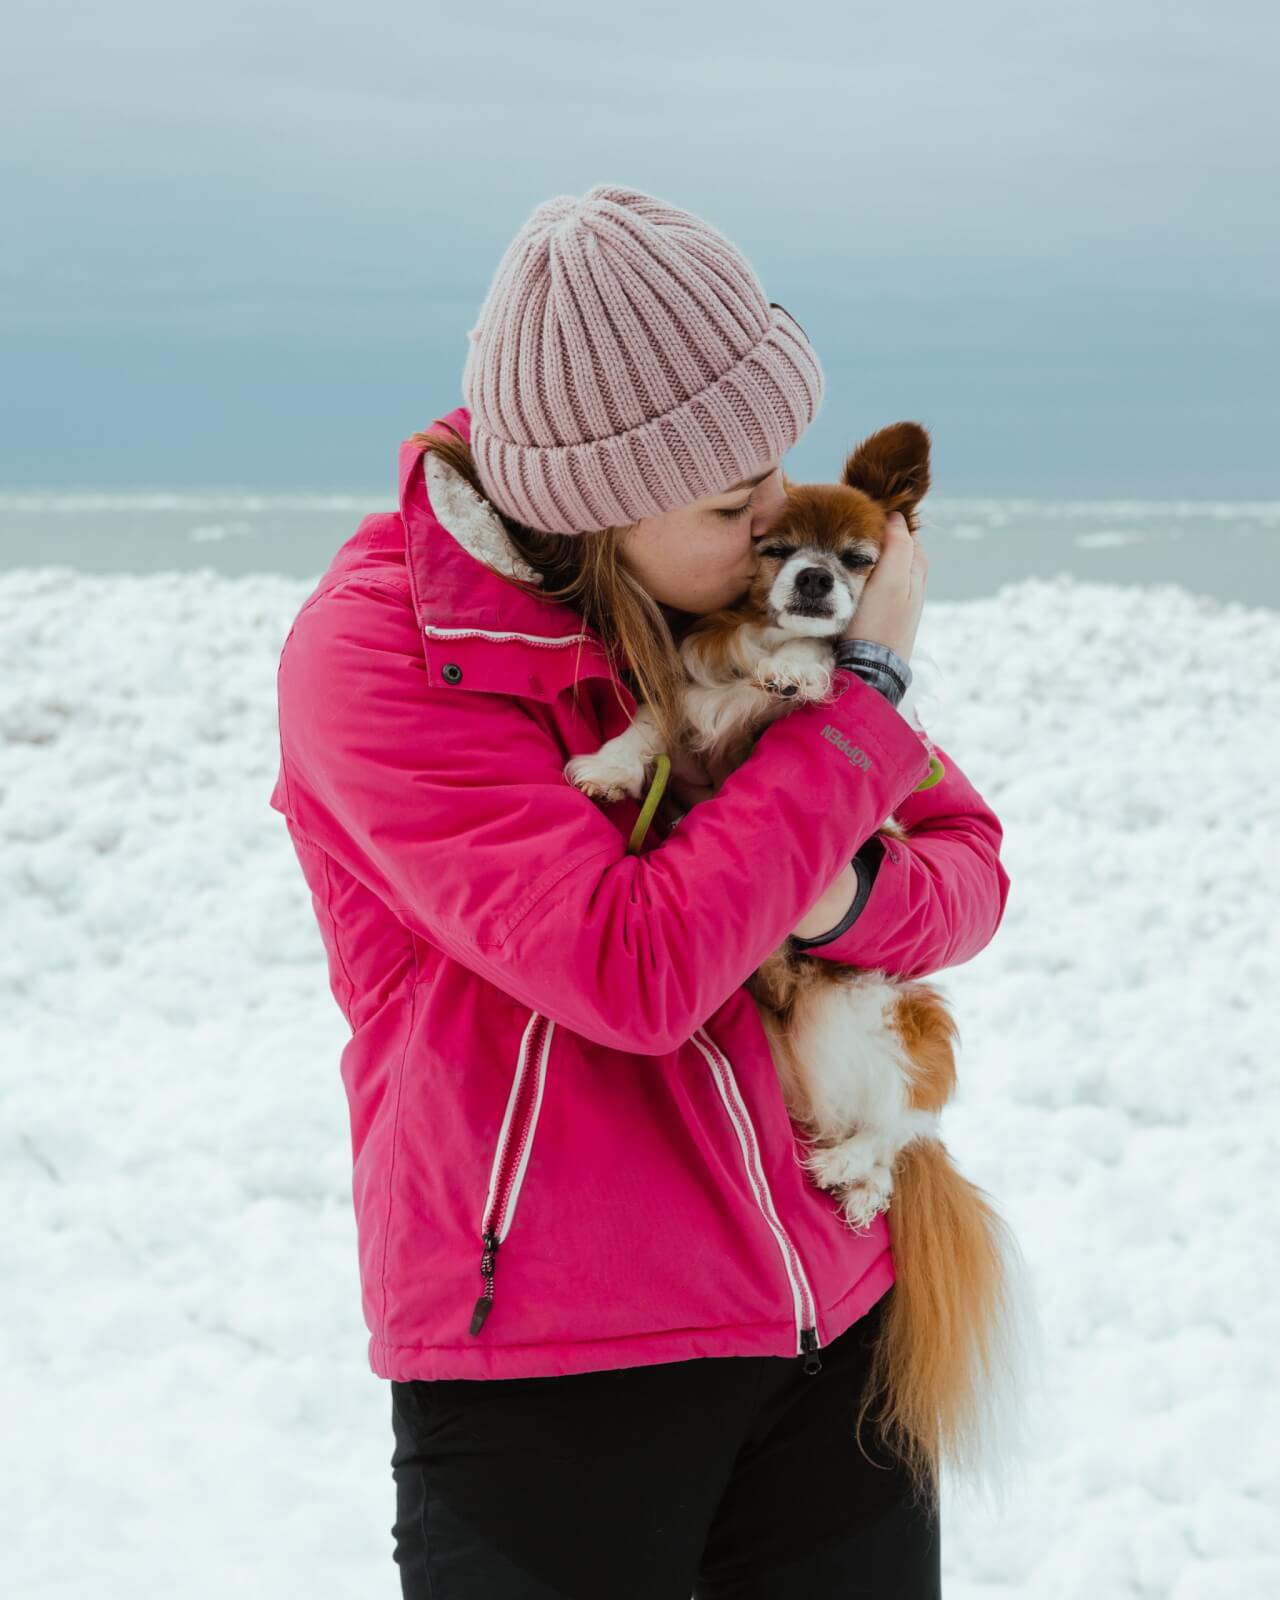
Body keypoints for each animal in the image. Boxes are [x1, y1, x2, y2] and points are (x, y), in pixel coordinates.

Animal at [566, 419, 1036, 1504]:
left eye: (856, 560)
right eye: (776, 548)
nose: (816, 582)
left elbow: (804, 683)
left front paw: (808, 675)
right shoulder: (689, 716)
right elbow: (654, 725)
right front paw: (607, 765)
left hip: (860, 1014)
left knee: (903, 1122)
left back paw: (854, 1167)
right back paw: (857, 1184)